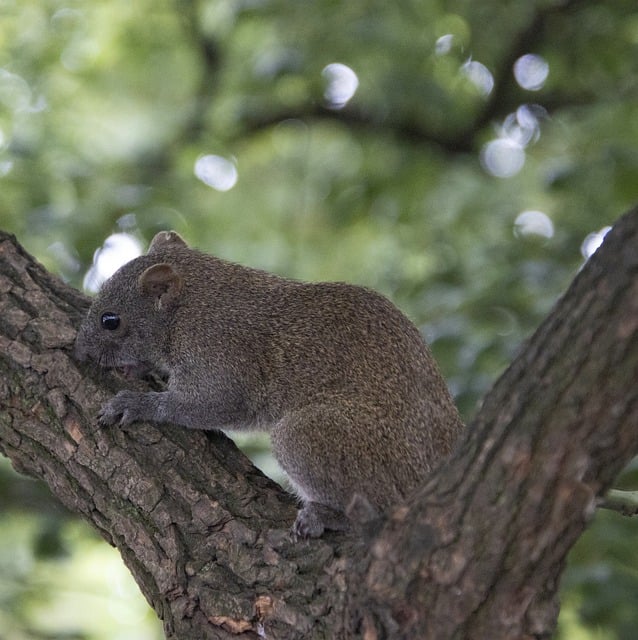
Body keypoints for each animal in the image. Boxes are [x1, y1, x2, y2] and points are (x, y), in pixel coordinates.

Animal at [75, 230, 464, 536]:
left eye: (110, 320)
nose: (80, 348)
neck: (191, 305)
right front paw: (139, 369)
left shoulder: (222, 355)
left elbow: (208, 403)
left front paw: (135, 403)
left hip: (310, 437)